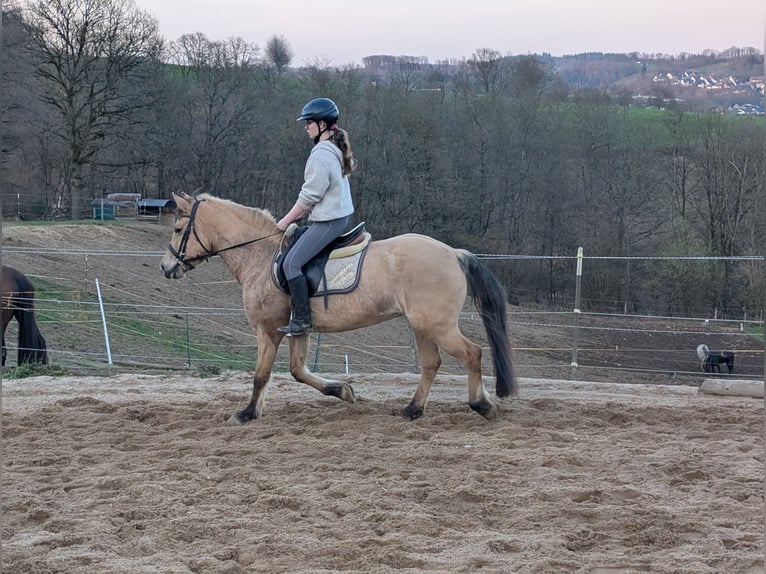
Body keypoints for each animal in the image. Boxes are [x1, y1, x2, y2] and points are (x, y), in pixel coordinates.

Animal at [160, 191, 516, 424]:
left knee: (472, 353)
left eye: (177, 230)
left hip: (436, 324)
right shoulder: (297, 330)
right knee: (431, 364)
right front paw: (343, 391)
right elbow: (298, 371)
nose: (166, 266)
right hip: (422, 325)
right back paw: (412, 410)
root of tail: (454, 253)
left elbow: (261, 375)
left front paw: (246, 414)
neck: (260, 256)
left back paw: (481, 405)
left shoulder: (268, 329)